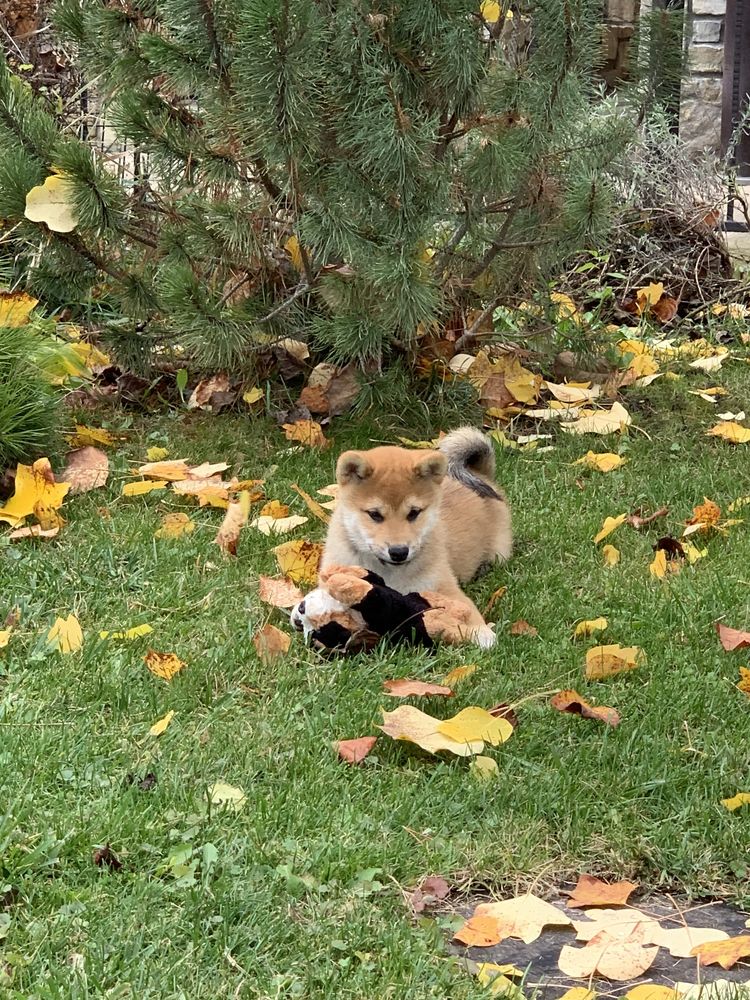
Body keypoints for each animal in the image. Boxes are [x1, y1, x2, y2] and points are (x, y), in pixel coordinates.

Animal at [318, 424, 512, 644]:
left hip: (499, 552)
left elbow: (468, 610)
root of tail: (480, 473)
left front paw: (483, 633)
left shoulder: (445, 588)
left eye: (414, 513)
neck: (389, 575)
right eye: (375, 514)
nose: (399, 552)